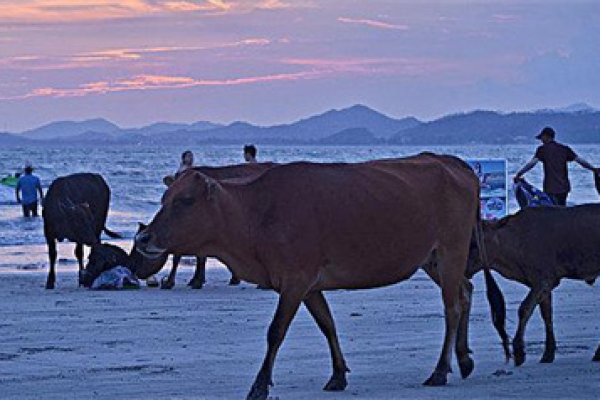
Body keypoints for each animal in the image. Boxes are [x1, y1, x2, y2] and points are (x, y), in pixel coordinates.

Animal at [135, 154, 506, 400]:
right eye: (164, 198)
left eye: (185, 201)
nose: (142, 238)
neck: (256, 213)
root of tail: (455, 163)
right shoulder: (307, 285)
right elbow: (327, 324)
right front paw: (338, 374)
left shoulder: (296, 280)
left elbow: (276, 332)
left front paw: (259, 385)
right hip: (432, 259)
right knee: (465, 293)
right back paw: (464, 359)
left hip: (451, 250)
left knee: (452, 307)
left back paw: (441, 369)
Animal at [466, 205, 600, 368]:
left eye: (473, 244)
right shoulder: (544, 285)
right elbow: (546, 314)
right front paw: (548, 353)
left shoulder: (543, 280)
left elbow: (524, 309)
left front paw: (519, 352)